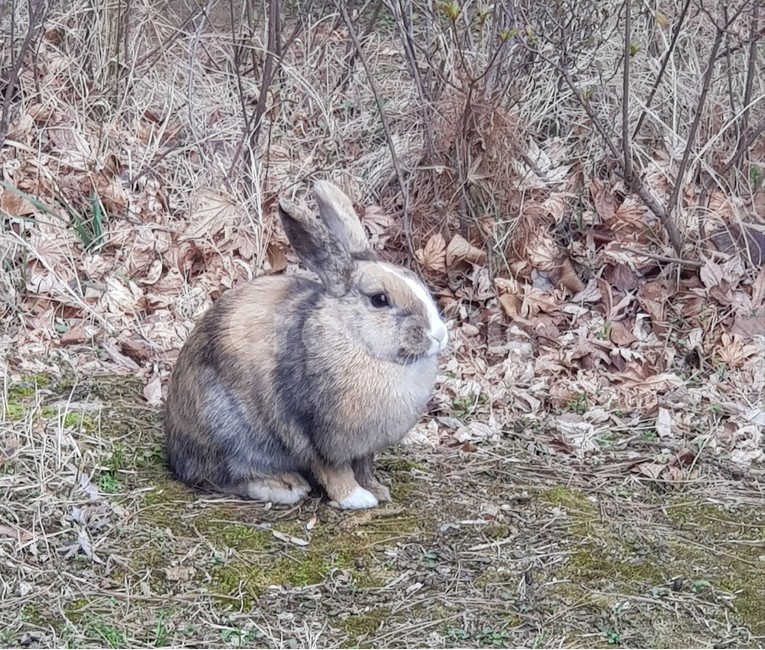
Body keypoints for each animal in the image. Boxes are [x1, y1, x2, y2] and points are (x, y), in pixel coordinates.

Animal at [164, 180, 448, 509]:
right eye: (379, 299)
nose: (439, 335)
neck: (359, 344)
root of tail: (176, 452)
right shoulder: (316, 437)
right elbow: (334, 471)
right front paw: (357, 499)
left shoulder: (364, 447)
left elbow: (364, 467)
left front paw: (377, 491)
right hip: (228, 430)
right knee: (221, 476)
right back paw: (284, 485)